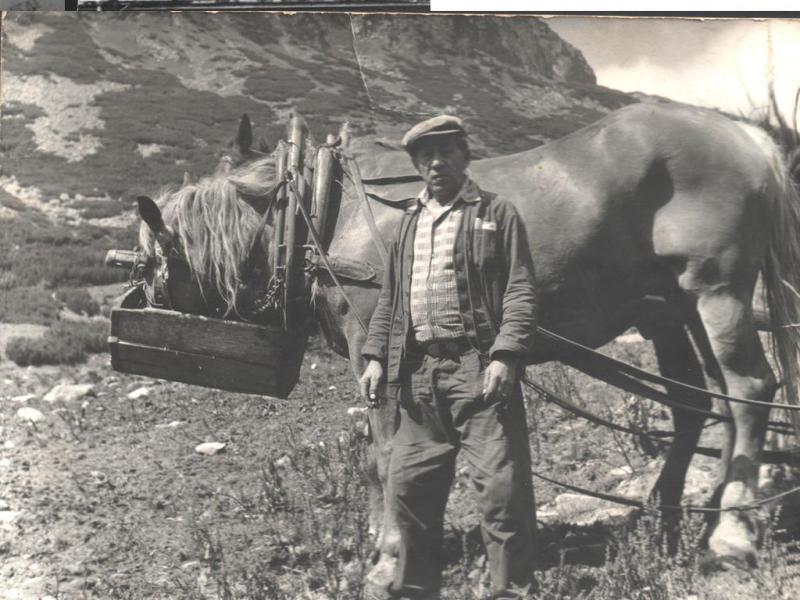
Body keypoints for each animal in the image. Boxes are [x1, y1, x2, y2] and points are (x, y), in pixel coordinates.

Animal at [134, 101, 800, 580]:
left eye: (156, 254)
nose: (142, 293)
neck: (320, 208)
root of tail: (748, 138)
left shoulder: (377, 346)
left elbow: (383, 457)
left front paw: (387, 553)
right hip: (669, 308)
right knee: (699, 401)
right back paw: (671, 520)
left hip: (716, 291)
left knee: (748, 389)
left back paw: (731, 532)